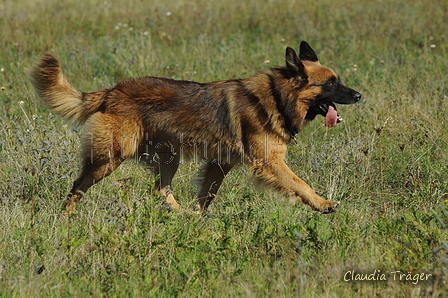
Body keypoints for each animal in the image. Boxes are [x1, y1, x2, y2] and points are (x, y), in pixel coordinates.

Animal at [30, 42, 360, 214]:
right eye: (331, 84)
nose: (359, 96)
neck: (278, 96)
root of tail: (112, 91)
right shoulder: (270, 162)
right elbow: (300, 184)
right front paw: (323, 204)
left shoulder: (220, 164)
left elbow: (207, 195)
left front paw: (201, 220)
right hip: (110, 157)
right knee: (78, 186)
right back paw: (65, 217)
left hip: (168, 157)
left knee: (161, 190)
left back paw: (181, 215)